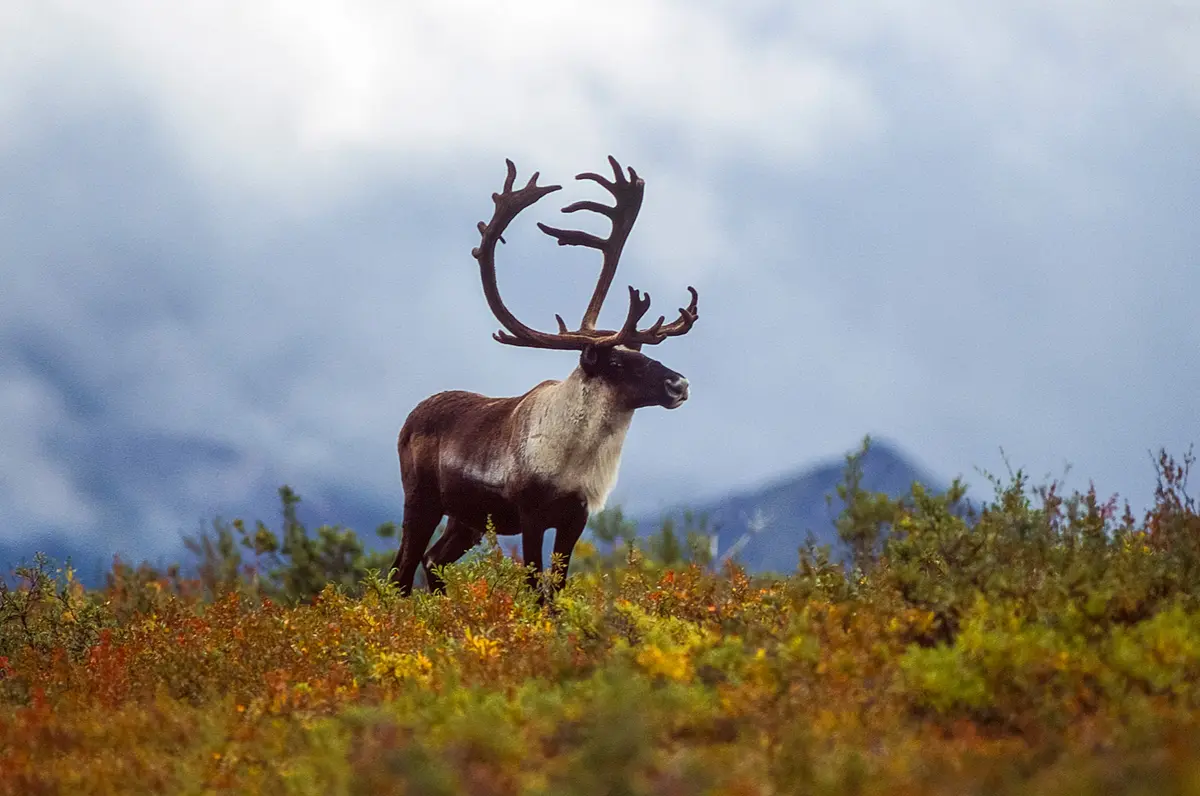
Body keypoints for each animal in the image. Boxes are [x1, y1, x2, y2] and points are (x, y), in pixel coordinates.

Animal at [388, 155, 699, 601]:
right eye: (617, 365)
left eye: (642, 354)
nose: (680, 384)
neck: (575, 458)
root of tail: (410, 417)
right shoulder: (531, 515)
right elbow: (536, 588)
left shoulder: (576, 518)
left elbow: (559, 588)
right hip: (421, 501)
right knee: (402, 571)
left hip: (466, 519)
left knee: (433, 560)